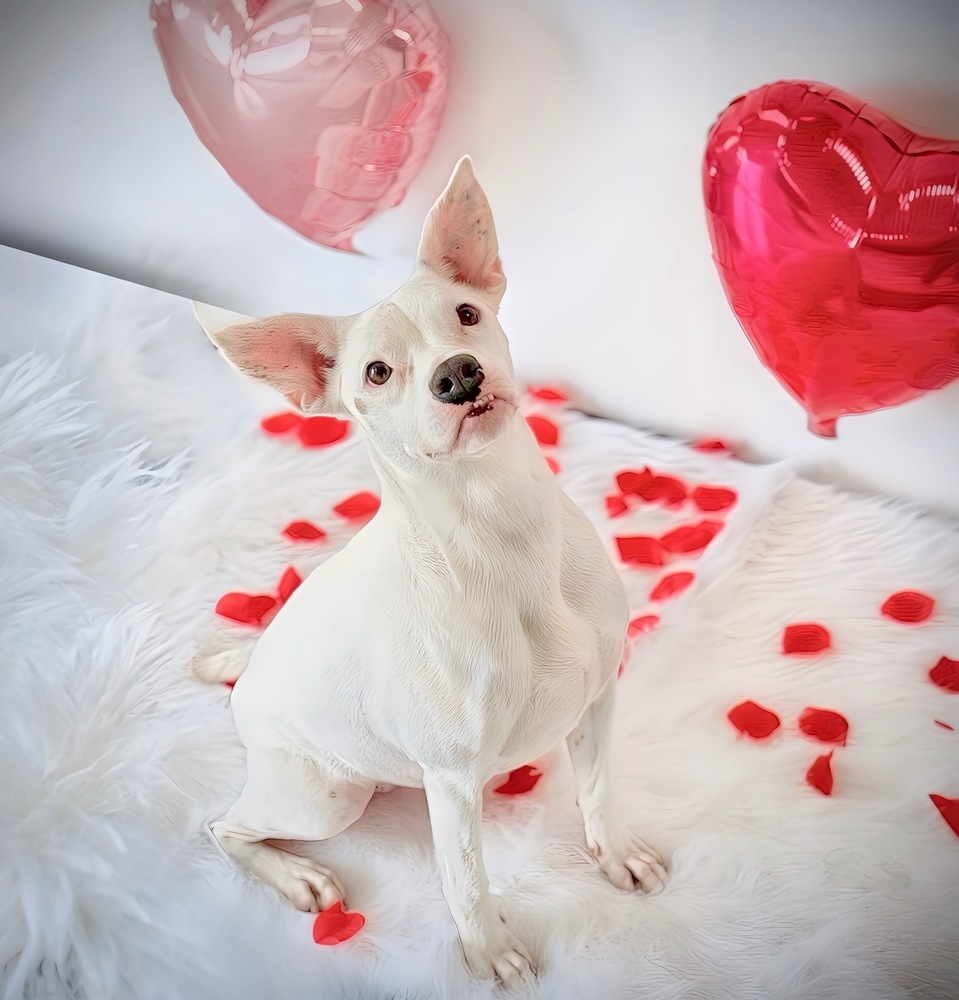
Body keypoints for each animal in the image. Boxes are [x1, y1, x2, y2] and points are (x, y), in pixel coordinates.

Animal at [195, 156, 668, 984]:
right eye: (378, 372)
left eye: (466, 313)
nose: (457, 375)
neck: (500, 533)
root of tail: (251, 671)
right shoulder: (450, 785)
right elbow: (467, 882)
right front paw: (491, 954)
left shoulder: (597, 700)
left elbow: (599, 789)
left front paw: (614, 855)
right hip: (323, 796)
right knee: (225, 830)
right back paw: (297, 876)